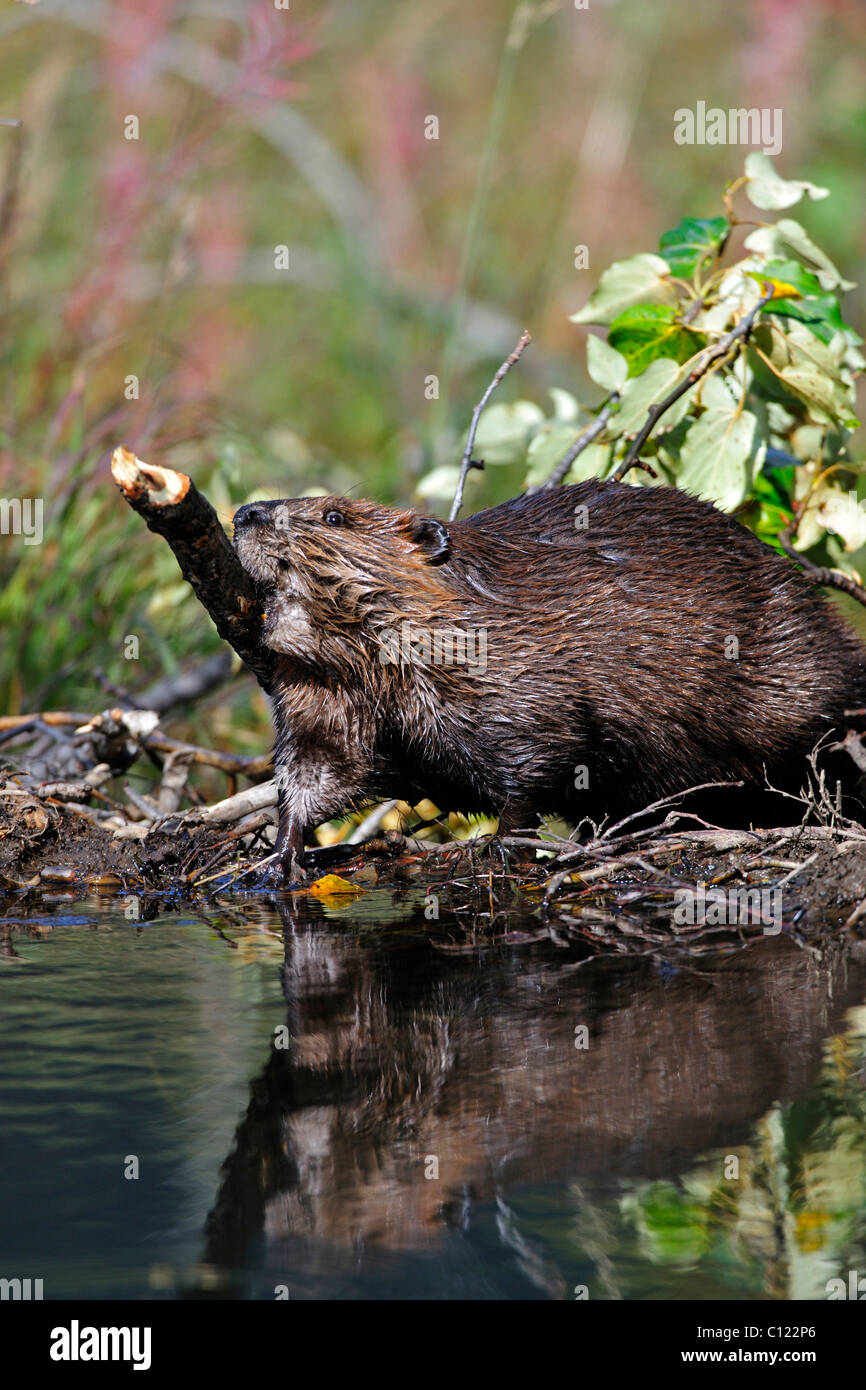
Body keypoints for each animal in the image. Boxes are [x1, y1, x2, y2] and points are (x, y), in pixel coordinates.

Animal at [232, 483, 866, 878]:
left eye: (334, 516)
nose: (245, 515)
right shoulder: (322, 691)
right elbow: (319, 767)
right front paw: (280, 855)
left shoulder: (516, 668)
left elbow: (539, 752)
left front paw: (502, 846)